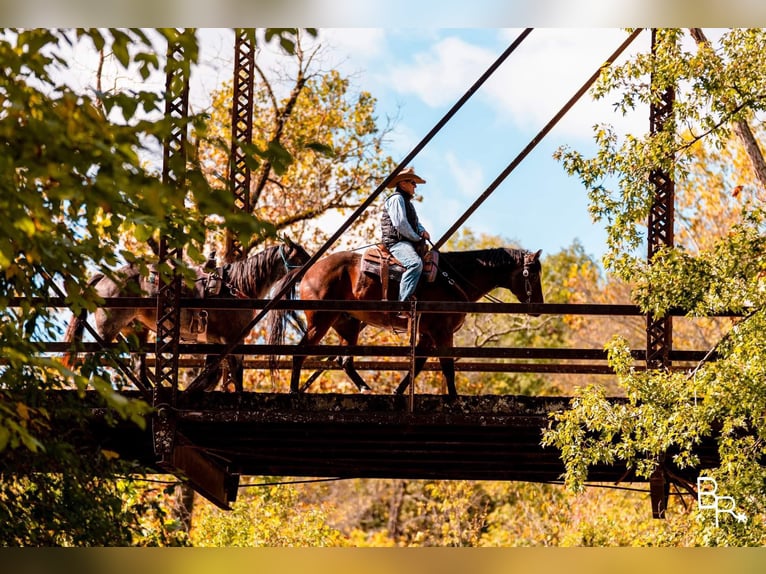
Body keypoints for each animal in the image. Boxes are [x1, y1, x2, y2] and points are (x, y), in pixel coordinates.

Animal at [65, 236, 312, 394]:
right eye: (302, 257)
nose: (315, 266)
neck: (237, 287)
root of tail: (104, 278)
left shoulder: (216, 344)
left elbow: (211, 375)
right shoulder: (233, 341)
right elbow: (235, 373)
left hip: (137, 332)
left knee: (137, 367)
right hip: (107, 330)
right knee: (91, 359)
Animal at [270, 248, 544, 400]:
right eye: (532, 274)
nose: (539, 306)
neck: (454, 279)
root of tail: (308, 271)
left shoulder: (426, 335)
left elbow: (418, 365)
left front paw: (398, 392)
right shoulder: (441, 332)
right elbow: (446, 365)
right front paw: (454, 398)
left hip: (346, 325)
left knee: (344, 360)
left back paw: (365, 388)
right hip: (320, 320)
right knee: (300, 352)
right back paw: (293, 392)